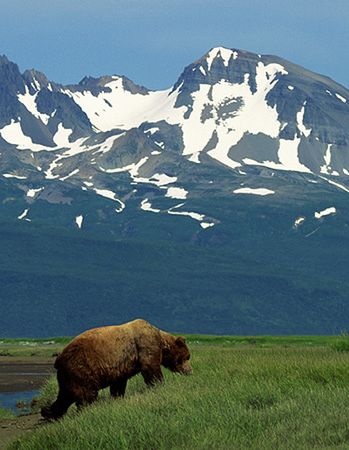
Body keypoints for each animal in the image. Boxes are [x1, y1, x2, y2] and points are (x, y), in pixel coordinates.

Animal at [42, 318, 193, 420]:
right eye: (187, 356)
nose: (190, 371)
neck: (161, 341)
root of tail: (59, 359)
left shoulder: (121, 368)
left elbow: (118, 384)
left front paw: (117, 397)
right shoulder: (145, 345)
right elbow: (150, 367)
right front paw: (158, 384)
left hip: (67, 376)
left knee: (64, 396)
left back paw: (49, 413)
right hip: (81, 369)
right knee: (86, 395)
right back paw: (86, 410)